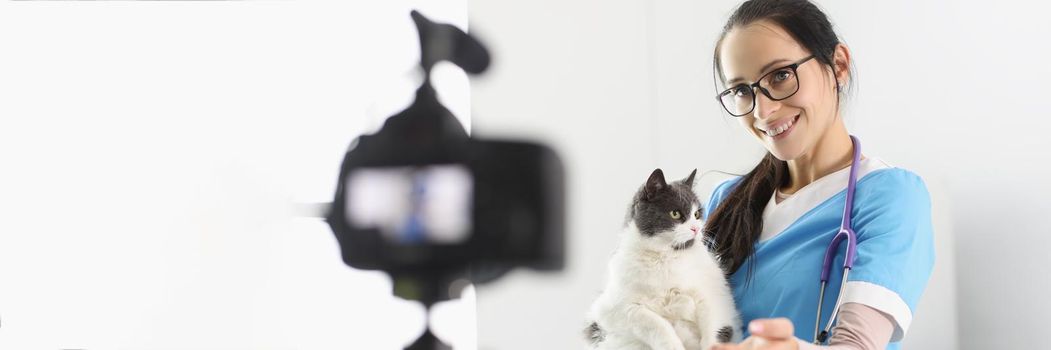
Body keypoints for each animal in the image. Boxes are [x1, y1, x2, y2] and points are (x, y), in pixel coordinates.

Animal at [588, 168, 744, 346]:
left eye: (697, 214)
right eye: (675, 214)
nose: (696, 229)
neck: (666, 257)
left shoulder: (716, 296)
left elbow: (714, 327)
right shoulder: (612, 309)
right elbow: (655, 323)